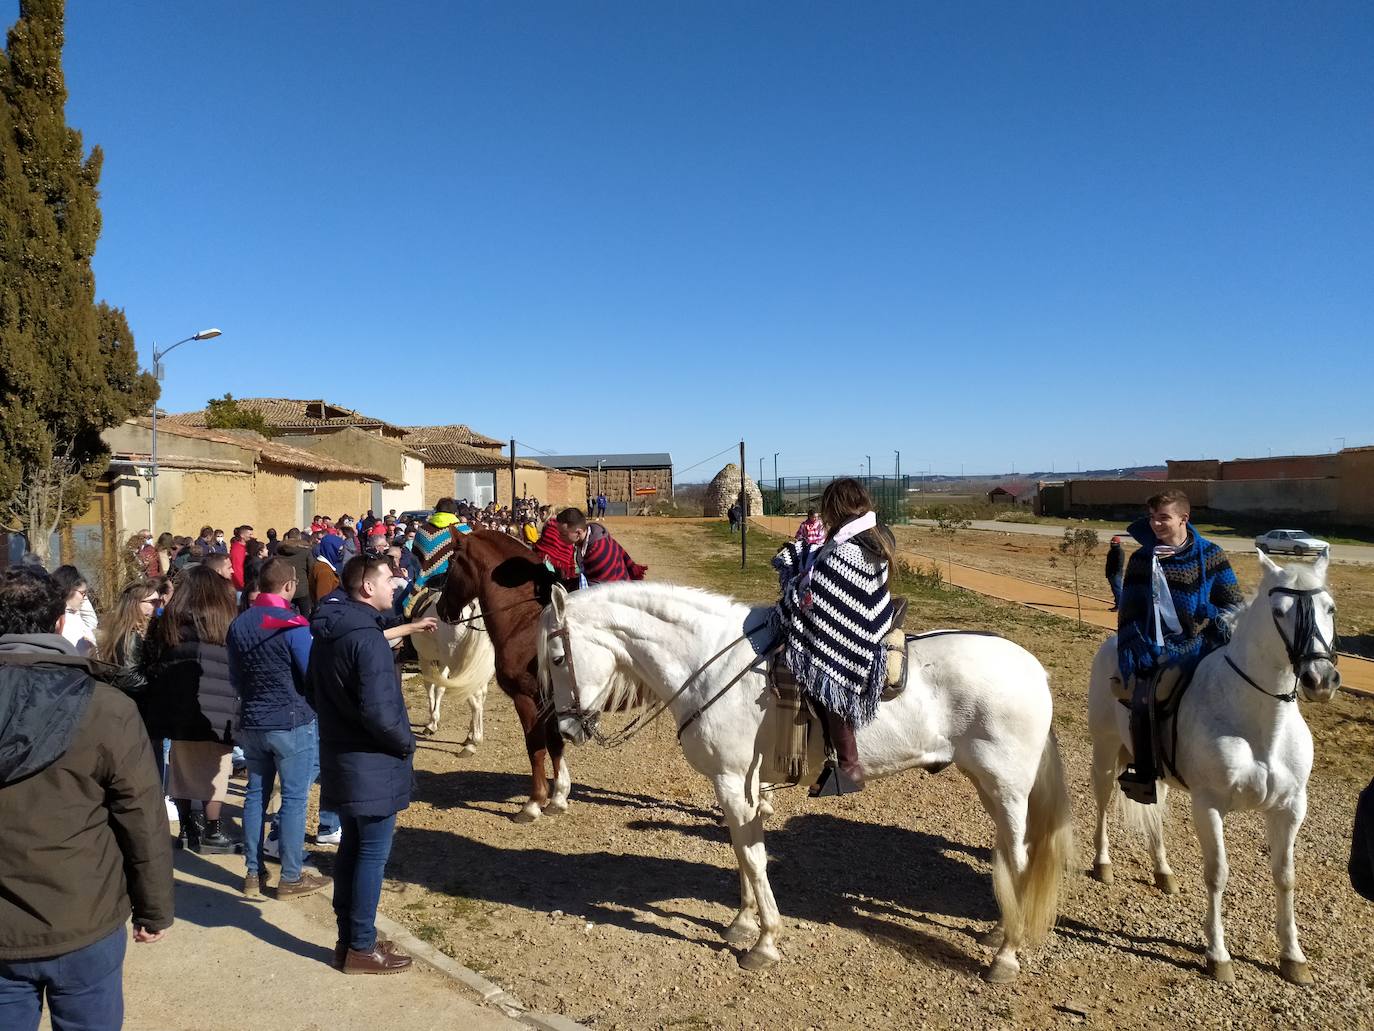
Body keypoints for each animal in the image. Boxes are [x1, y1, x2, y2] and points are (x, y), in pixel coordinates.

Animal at [412, 596, 500, 753]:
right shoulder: (442, 660)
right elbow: (440, 688)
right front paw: (434, 720)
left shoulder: (424, 656)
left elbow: (429, 687)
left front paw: (431, 724)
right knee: (481, 694)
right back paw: (470, 735)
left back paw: (474, 741)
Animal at [439, 533, 568, 824]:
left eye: (451, 563)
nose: (441, 608)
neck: (525, 623)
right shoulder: (550, 702)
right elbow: (555, 743)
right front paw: (558, 797)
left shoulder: (526, 698)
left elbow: (536, 747)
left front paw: (533, 803)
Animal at [535, 582, 1071, 984]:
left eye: (557, 657)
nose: (566, 729)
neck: (710, 663)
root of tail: (1033, 668)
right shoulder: (737, 787)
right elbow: (742, 853)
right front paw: (742, 922)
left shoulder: (732, 783)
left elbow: (753, 857)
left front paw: (764, 941)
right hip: (988, 784)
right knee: (1010, 854)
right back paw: (999, 930)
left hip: (1007, 787)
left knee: (1018, 858)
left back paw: (1005, 954)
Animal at [1088, 552, 1335, 989]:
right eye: (1279, 611)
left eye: (1330, 608)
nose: (1320, 679)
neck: (1261, 725)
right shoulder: (1209, 806)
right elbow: (1217, 874)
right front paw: (1217, 956)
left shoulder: (1290, 809)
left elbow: (1286, 876)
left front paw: (1293, 957)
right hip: (1104, 752)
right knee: (1101, 803)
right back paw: (1103, 865)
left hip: (1154, 775)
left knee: (1155, 817)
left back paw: (1163, 872)